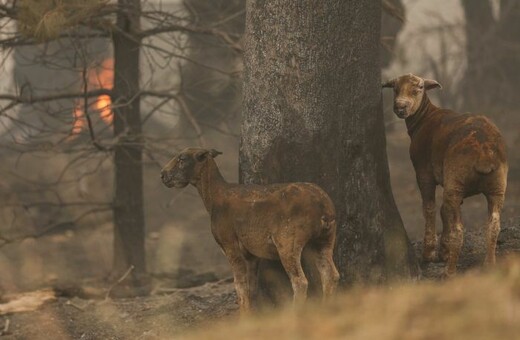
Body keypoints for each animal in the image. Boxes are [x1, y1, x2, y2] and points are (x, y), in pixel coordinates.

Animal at [160, 147, 340, 312]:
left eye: (182, 159)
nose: (162, 174)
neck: (214, 198)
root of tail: (323, 206)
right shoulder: (251, 254)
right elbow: (251, 287)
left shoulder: (229, 245)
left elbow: (239, 284)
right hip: (324, 239)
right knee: (331, 275)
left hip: (288, 242)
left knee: (300, 281)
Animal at [382, 73, 508, 276]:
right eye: (395, 88)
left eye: (419, 88)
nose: (400, 107)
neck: (425, 118)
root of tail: (483, 153)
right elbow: (443, 210)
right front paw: (444, 251)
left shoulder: (423, 171)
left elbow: (430, 208)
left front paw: (430, 253)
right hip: (496, 184)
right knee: (493, 225)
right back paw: (490, 265)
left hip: (456, 179)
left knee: (459, 229)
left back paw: (449, 272)